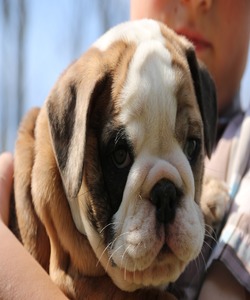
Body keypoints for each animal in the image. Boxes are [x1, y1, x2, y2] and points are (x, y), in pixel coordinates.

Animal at [10, 19, 220, 298]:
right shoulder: (79, 281)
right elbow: (153, 295)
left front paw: (213, 195)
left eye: (192, 145)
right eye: (120, 156)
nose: (165, 192)